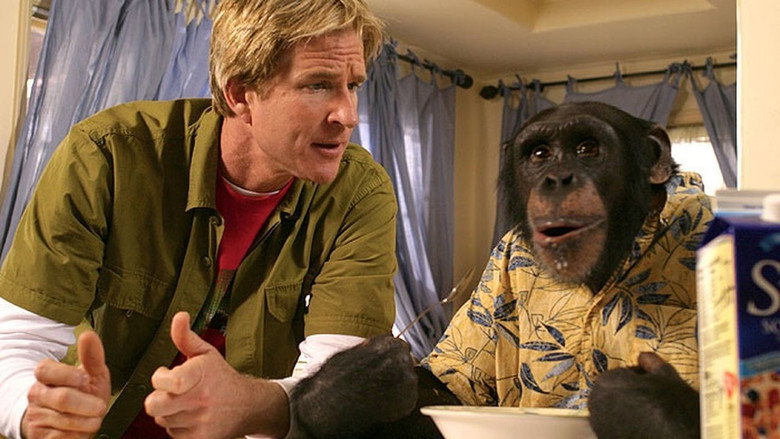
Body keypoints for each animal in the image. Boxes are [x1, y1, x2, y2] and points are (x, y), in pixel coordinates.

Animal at [290, 101, 713, 439]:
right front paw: (350, 390)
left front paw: (642, 403)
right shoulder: (500, 261)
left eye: (588, 148)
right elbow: (450, 392)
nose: (557, 179)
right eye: (540, 154)